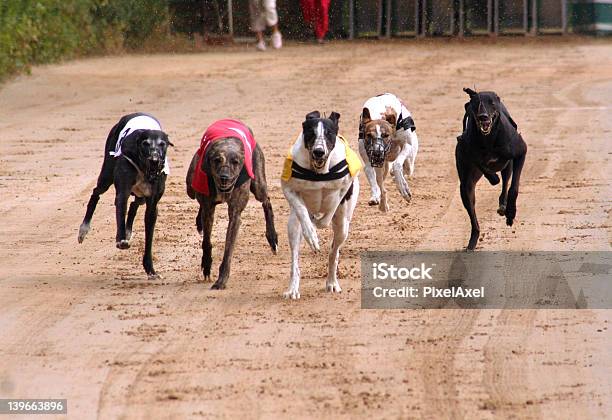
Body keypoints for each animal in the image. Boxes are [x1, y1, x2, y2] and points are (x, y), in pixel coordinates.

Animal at [77, 112, 172, 276]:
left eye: (162, 144)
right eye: (145, 143)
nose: (154, 160)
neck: (144, 169)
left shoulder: (152, 204)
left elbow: (149, 234)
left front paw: (150, 269)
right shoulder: (123, 192)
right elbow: (121, 210)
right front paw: (121, 240)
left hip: (141, 196)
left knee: (135, 204)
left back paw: (128, 232)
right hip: (106, 177)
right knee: (96, 193)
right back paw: (84, 228)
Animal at [183, 118, 276, 288]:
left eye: (236, 162)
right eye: (217, 160)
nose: (224, 177)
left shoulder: (235, 215)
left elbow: (228, 249)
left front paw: (221, 280)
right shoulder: (208, 207)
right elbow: (206, 240)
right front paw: (207, 265)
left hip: (258, 183)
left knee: (266, 201)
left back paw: (273, 238)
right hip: (190, 188)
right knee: (198, 202)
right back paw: (199, 222)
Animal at [282, 111, 364, 298]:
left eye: (329, 133)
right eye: (311, 132)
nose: (319, 151)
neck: (318, 172)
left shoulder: (344, 187)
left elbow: (329, 213)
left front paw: (318, 224)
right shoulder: (288, 189)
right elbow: (302, 211)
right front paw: (311, 234)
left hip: (343, 228)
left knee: (334, 252)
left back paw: (332, 282)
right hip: (293, 225)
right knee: (295, 259)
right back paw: (293, 288)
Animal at [456, 88, 528, 249]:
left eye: (492, 103)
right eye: (475, 103)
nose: (483, 116)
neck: (488, 139)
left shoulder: (521, 152)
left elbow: (513, 188)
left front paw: (511, 213)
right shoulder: (468, 151)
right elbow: (481, 163)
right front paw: (493, 177)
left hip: (508, 166)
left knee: (506, 183)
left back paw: (504, 206)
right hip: (466, 187)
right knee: (473, 216)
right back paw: (472, 241)